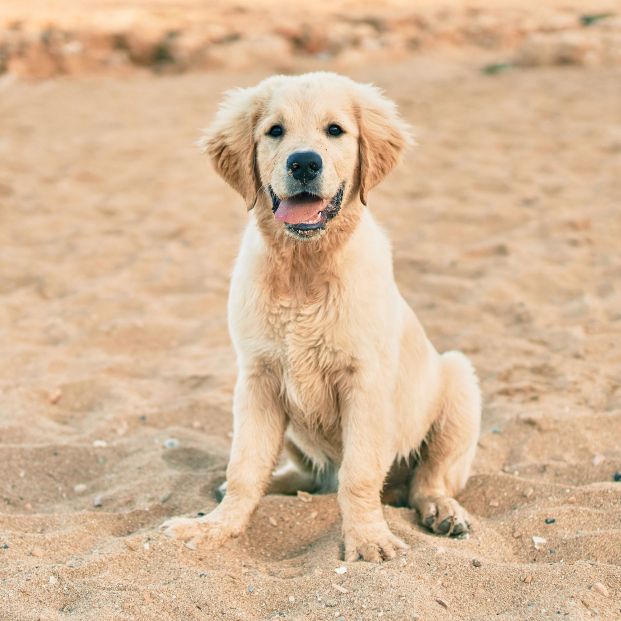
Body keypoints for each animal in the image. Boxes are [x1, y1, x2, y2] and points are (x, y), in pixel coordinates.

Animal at [162, 72, 482, 560]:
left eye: (335, 130)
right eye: (275, 131)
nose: (304, 163)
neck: (303, 270)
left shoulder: (365, 382)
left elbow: (359, 474)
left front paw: (368, 539)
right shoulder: (257, 378)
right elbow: (244, 468)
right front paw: (216, 527)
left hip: (459, 381)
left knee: (428, 481)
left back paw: (443, 512)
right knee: (308, 474)